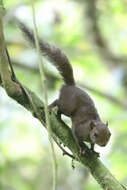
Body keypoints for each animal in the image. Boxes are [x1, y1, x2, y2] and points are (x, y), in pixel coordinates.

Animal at [16, 20, 110, 155]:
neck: (89, 127)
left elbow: (92, 145)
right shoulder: (78, 129)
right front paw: (82, 148)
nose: (103, 144)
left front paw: (93, 151)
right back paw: (50, 107)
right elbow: (76, 136)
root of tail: (70, 86)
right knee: (58, 103)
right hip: (67, 106)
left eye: (109, 134)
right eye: (95, 134)